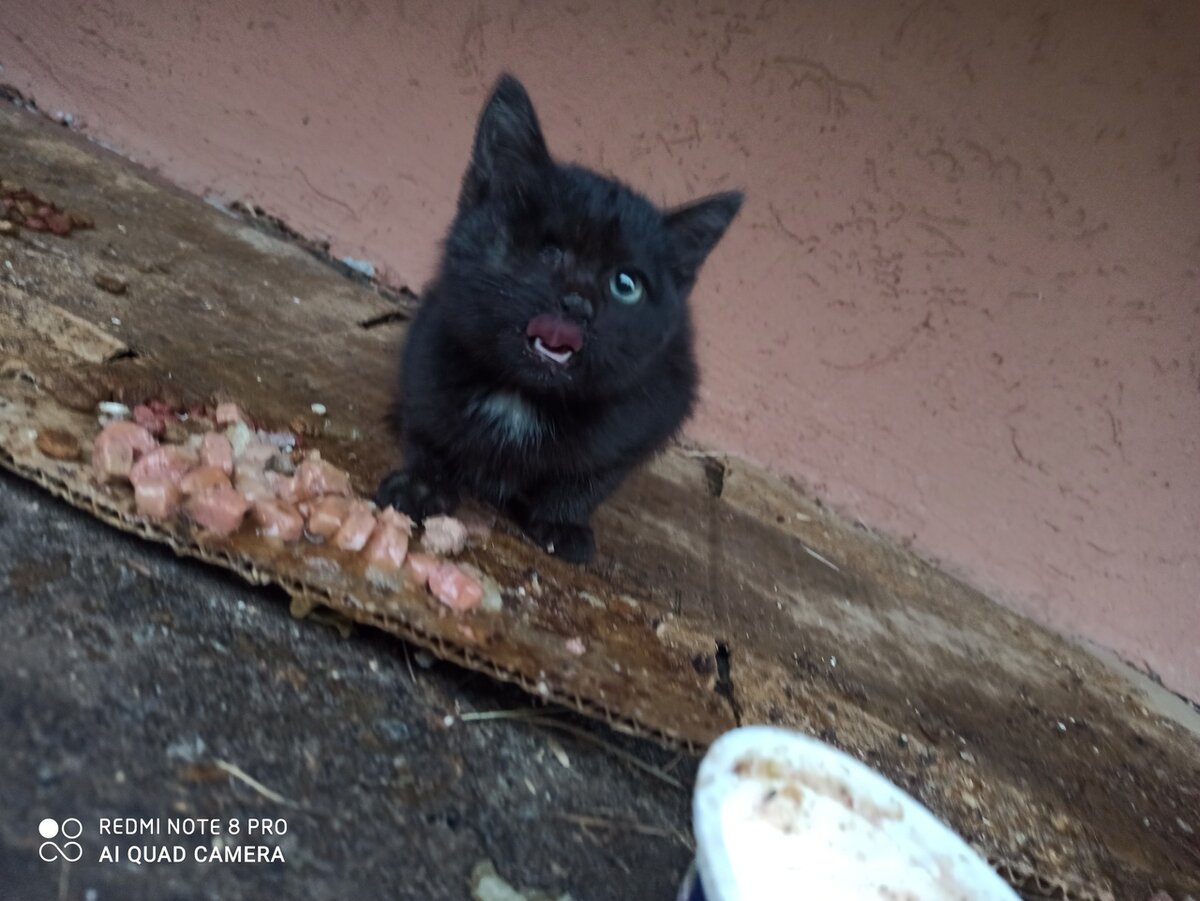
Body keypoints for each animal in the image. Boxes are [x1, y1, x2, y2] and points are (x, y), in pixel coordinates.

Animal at [374, 75, 739, 563]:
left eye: (626, 285)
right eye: (549, 251)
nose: (578, 304)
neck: (523, 396)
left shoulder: (651, 409)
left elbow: (590, 476)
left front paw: (562, 522)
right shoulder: (428, 355)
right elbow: (428, 428)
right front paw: (421, 484)